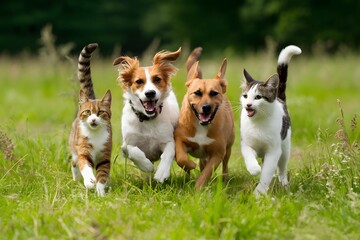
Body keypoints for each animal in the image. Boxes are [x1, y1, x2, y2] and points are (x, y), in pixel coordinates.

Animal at [68, 43, 112, 197]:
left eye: (100, 112)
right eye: (88, 112)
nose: (93, 119)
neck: (95, 134)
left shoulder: (105, 156)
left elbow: (102, 175)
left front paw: (100, 192)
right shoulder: (83, 151)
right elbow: (85, 167)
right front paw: (89, 182)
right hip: (74, 145)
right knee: (74, 162)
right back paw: (76, 179)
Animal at [112, 47, 180, 182]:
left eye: (157, 79)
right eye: (139, 81)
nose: (150, 93)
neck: (147, 119)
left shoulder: (168, 140)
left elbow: (168, 152)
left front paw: (162, 172)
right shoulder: (126, 144)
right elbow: (132, 151)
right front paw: (146, 165)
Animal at [175, 47, 236, 188]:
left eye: (214, 93)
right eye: (197, 93)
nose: (206, 107)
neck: (201, 126)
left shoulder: (218, 153)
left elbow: (207, 172)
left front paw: (198, 187)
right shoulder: (180, 139)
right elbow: (181, 158)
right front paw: (190, 165)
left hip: (228, 147)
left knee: (225, 164)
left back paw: (225, 179)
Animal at [240, 45, 302, 195]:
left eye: (258, 97)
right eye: (245, 96)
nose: (248, 105)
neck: (258, 122)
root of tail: (279, 98)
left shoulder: (273, 151)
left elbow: (267, 173)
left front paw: (259, 193)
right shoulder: (246, 143)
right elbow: (249, 154)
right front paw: (254, 168)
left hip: (285, 148)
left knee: (282, 169)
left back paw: (284, 184)